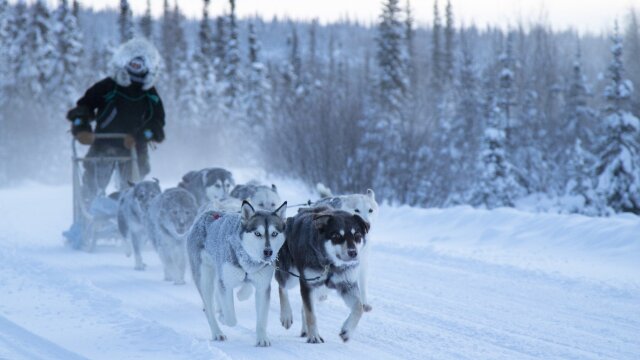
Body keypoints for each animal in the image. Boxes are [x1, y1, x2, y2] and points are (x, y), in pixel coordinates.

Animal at [188, 201, 288, 344]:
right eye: (257, 233)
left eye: (274, 234)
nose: (268, 252)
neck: (248, 261)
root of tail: (209, 212)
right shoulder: (226, 283)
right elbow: (231, 319)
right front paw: (223, 318)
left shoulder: (262, 286)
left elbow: (261, 317)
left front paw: (262, 338)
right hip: (205, 279)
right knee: (209, 308)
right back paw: (217, 332)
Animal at [276, 205, 370, 344]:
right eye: (336, 235)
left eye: (357, 235)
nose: (353, 252)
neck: (330, 264)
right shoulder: (308, 284)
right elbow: (311, 314)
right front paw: (314, 336)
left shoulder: (346, 284)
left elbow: (359, 307)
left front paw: (347, 331)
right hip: (290, 276)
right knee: (282, 287)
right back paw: (286, 315)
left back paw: (305, 329)